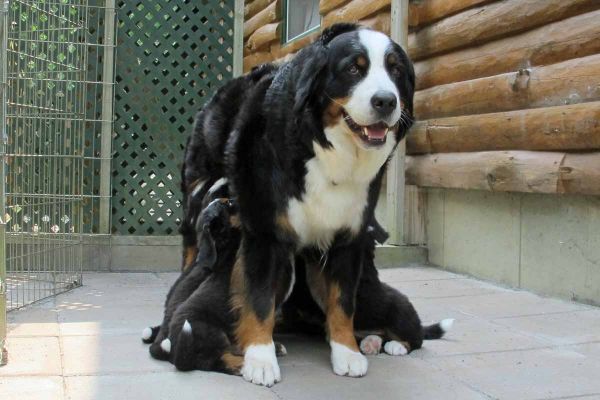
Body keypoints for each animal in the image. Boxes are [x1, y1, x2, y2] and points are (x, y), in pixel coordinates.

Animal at [156, 23, 454, 386]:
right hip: (196, 202)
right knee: (191, 253)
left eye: (395, 70)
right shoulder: (265, 233)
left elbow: (342, 302)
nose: (385, 100)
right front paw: (260, 358)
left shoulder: (348, 238)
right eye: (353, 69)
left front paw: (346, 351)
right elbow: (259, 298)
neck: (324, 153)